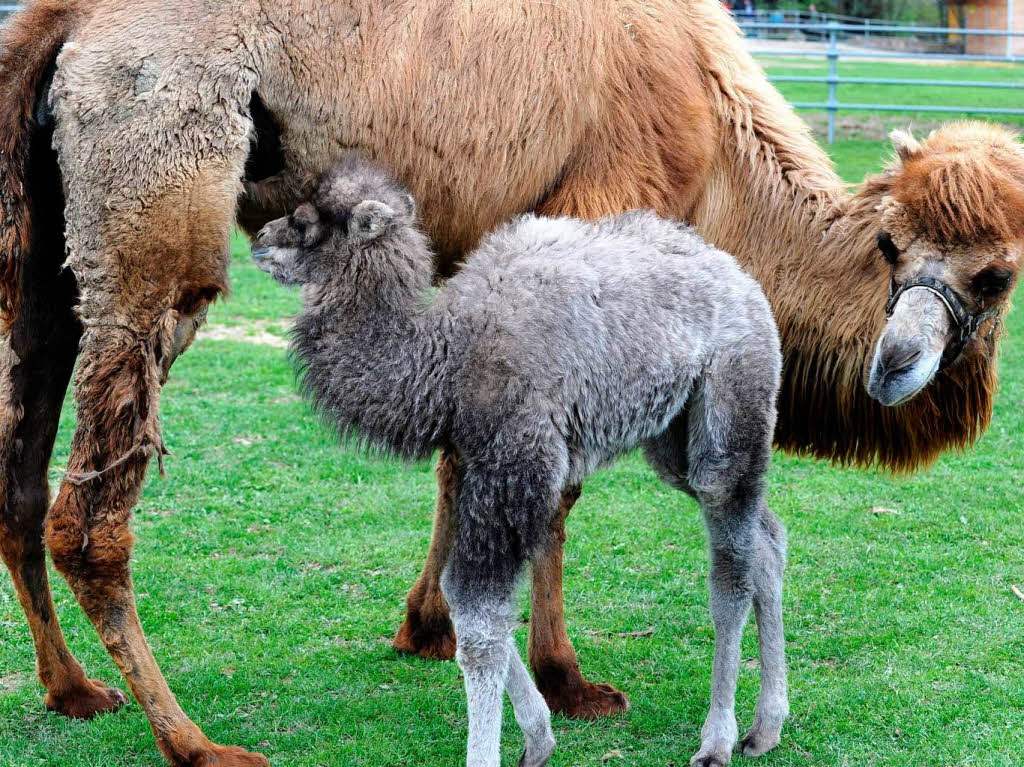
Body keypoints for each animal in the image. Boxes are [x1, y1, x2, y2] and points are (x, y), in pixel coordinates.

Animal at [251, 155, 786, 765]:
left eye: (307, 221)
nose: (261, 240)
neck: (446, 358)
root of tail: (746, 283)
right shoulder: (475, 460)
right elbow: (461, 595)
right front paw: (538, 737)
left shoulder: (516, 461)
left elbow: (479, 620)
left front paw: (493, 751)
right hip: (675, 435)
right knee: (766, 540)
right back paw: (765, 728)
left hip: (732, 400)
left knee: (730, 569)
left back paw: (717, 740)